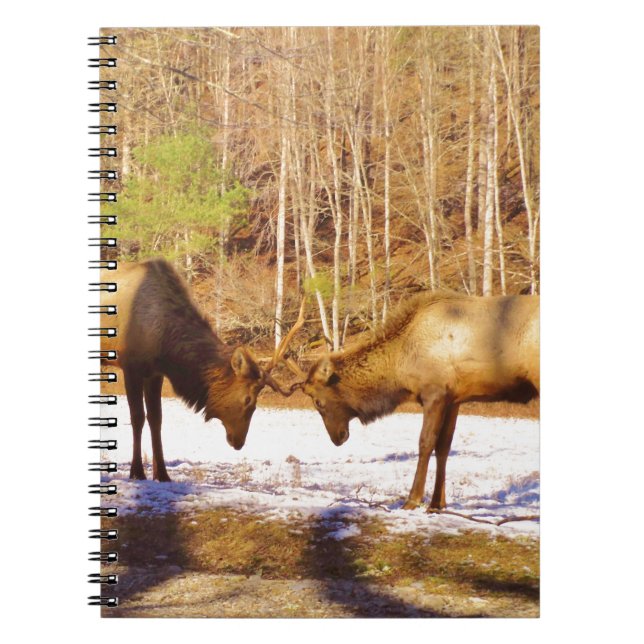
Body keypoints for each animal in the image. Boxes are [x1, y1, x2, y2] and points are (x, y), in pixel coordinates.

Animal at [100, 258, 302, 482]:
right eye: (248, 400)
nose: (239, 442)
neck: (165, 346)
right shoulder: (131, 366)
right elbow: (137, 417)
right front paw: (137, 472)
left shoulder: (155, 373)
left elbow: (156, 419)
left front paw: (162, 474)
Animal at [284, 292, 539, 511]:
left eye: (318, 402)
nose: (337, 438)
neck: (400, 367)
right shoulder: (454, 398)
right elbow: (444, 447)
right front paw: (437, 503)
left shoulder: (435, 393)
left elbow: (425, 443)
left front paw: (413, 500)